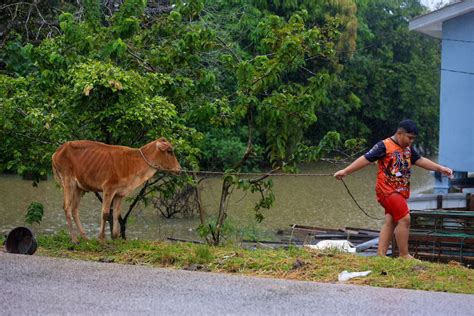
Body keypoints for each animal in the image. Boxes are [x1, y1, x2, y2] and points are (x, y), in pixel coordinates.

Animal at [50, 138, 180, 242]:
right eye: (169, 151)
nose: (179, 169)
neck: (133, 163)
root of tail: (57, 151)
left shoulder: (119, 193)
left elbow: (116, 215)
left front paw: (116, 237)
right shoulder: (108, 188)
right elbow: (105, 213)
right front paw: (102, 238)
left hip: (79, 187)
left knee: (74, 209)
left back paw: (85, 238)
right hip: (68, 181)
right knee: (67, 208)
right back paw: (74, 239)